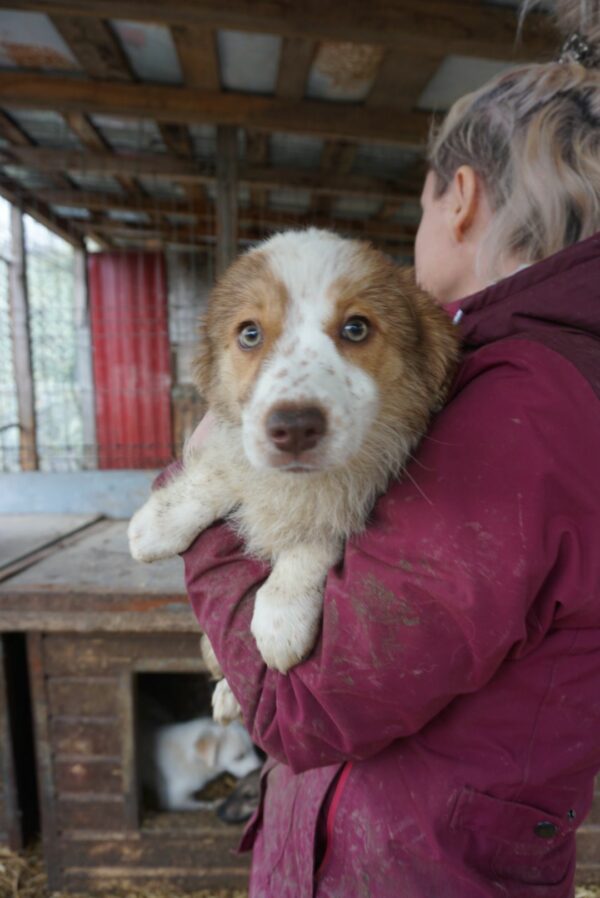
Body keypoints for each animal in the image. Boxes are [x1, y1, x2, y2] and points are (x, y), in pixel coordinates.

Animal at [129, 229, 460, 720]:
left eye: (356, 328)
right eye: (250, 334)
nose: (295, 426)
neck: (295, 483)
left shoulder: (361, 485)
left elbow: (318, 531)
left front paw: (280, 618)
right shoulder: (237, 444)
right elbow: (221, 472)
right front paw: (156, 526)